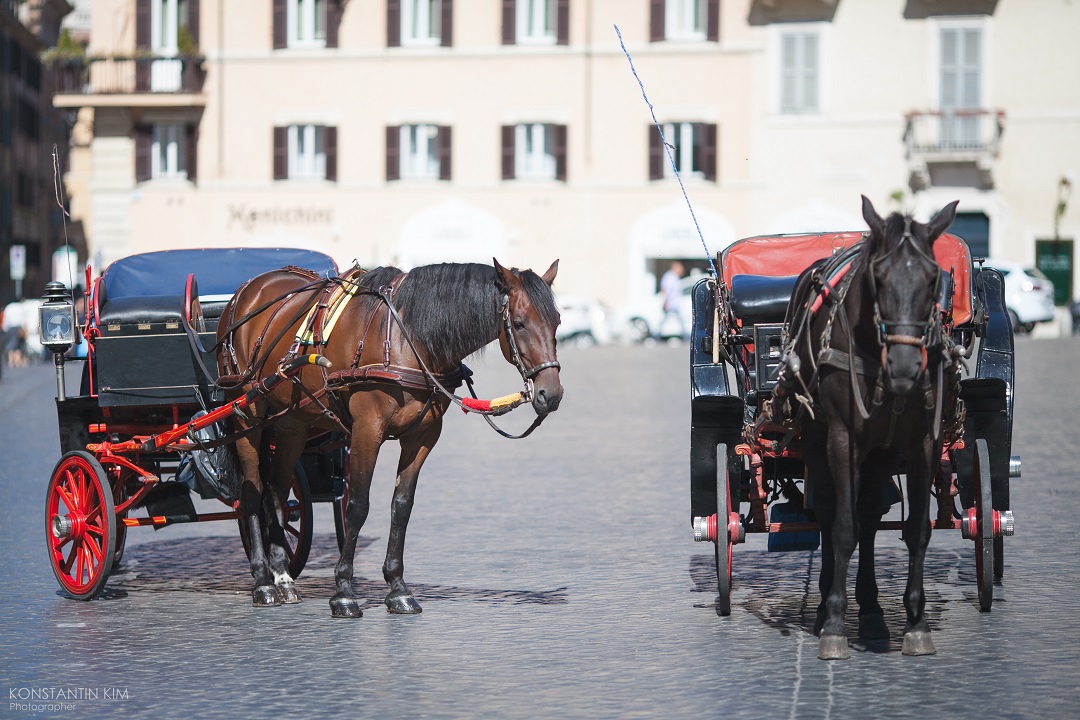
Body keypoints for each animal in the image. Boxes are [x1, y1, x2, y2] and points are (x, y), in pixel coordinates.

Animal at [214, 255, 561, 617]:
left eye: (558, 323)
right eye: (519, 324)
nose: (551, 394)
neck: (408, 338)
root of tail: (248, 288)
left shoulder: (423, 436)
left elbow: (401, 506)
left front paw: (397, 588)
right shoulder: (367, 430)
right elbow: (357, 506)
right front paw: (343, 591)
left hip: (291, 423)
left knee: (277, 493)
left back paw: (282, 576)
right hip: (246, 415)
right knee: (251, 493)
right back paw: (263, 582)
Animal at [777, 197, 963, 660]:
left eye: (933, 278)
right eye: (878, 278)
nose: (905, 366)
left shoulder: (923, 444)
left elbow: (916, 531)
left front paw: (915, 622)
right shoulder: (843, 438)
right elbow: (842, 530)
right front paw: (834, 624)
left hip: (881, 453)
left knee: (869, 517)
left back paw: (873, 612)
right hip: (816, 437)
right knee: (832, 513)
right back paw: (826, 608)